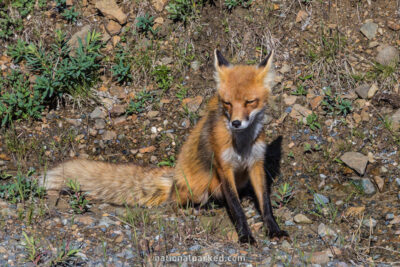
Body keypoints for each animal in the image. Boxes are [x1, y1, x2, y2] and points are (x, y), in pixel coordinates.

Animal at [43, 49, 288, 245]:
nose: (235, 123)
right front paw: (245, 236)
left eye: (249, 102)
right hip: (201, 186)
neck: (242, 143)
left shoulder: (256, 163)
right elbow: (236, 209)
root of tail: (174, 177)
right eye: (227, 103)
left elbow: (266, 204)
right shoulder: (223, 167)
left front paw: (273, 229)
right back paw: (203, 207)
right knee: (176, 202)